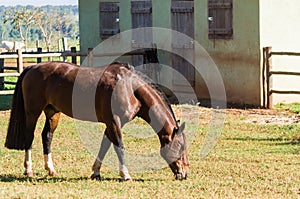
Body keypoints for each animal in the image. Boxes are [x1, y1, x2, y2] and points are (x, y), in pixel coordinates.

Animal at [4, 61, 189, 180]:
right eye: (180, 147)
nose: (185, 174)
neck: (128, 87)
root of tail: (32, 67)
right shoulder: (114, 122)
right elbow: (119, 147)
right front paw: (125, 174)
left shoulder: (111, 124)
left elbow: (104, 146)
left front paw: (96, 172)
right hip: (32, 112)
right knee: (29, 137)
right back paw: (28, 170)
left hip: (53, 112)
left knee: (47, 136)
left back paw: (51, 170)